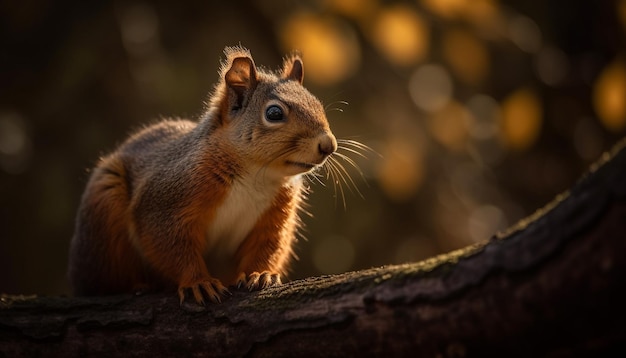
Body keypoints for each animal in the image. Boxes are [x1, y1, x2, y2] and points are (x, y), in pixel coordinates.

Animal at [67, 45, 336, 304]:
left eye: (318, 104)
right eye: (274, 114)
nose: (328, 145)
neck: (255, 176)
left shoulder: (275, 216)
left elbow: (268, 247)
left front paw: (261, 274)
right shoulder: (165, 202)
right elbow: (172, 247)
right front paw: (198, 283)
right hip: (104, 214)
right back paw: (138, 286)